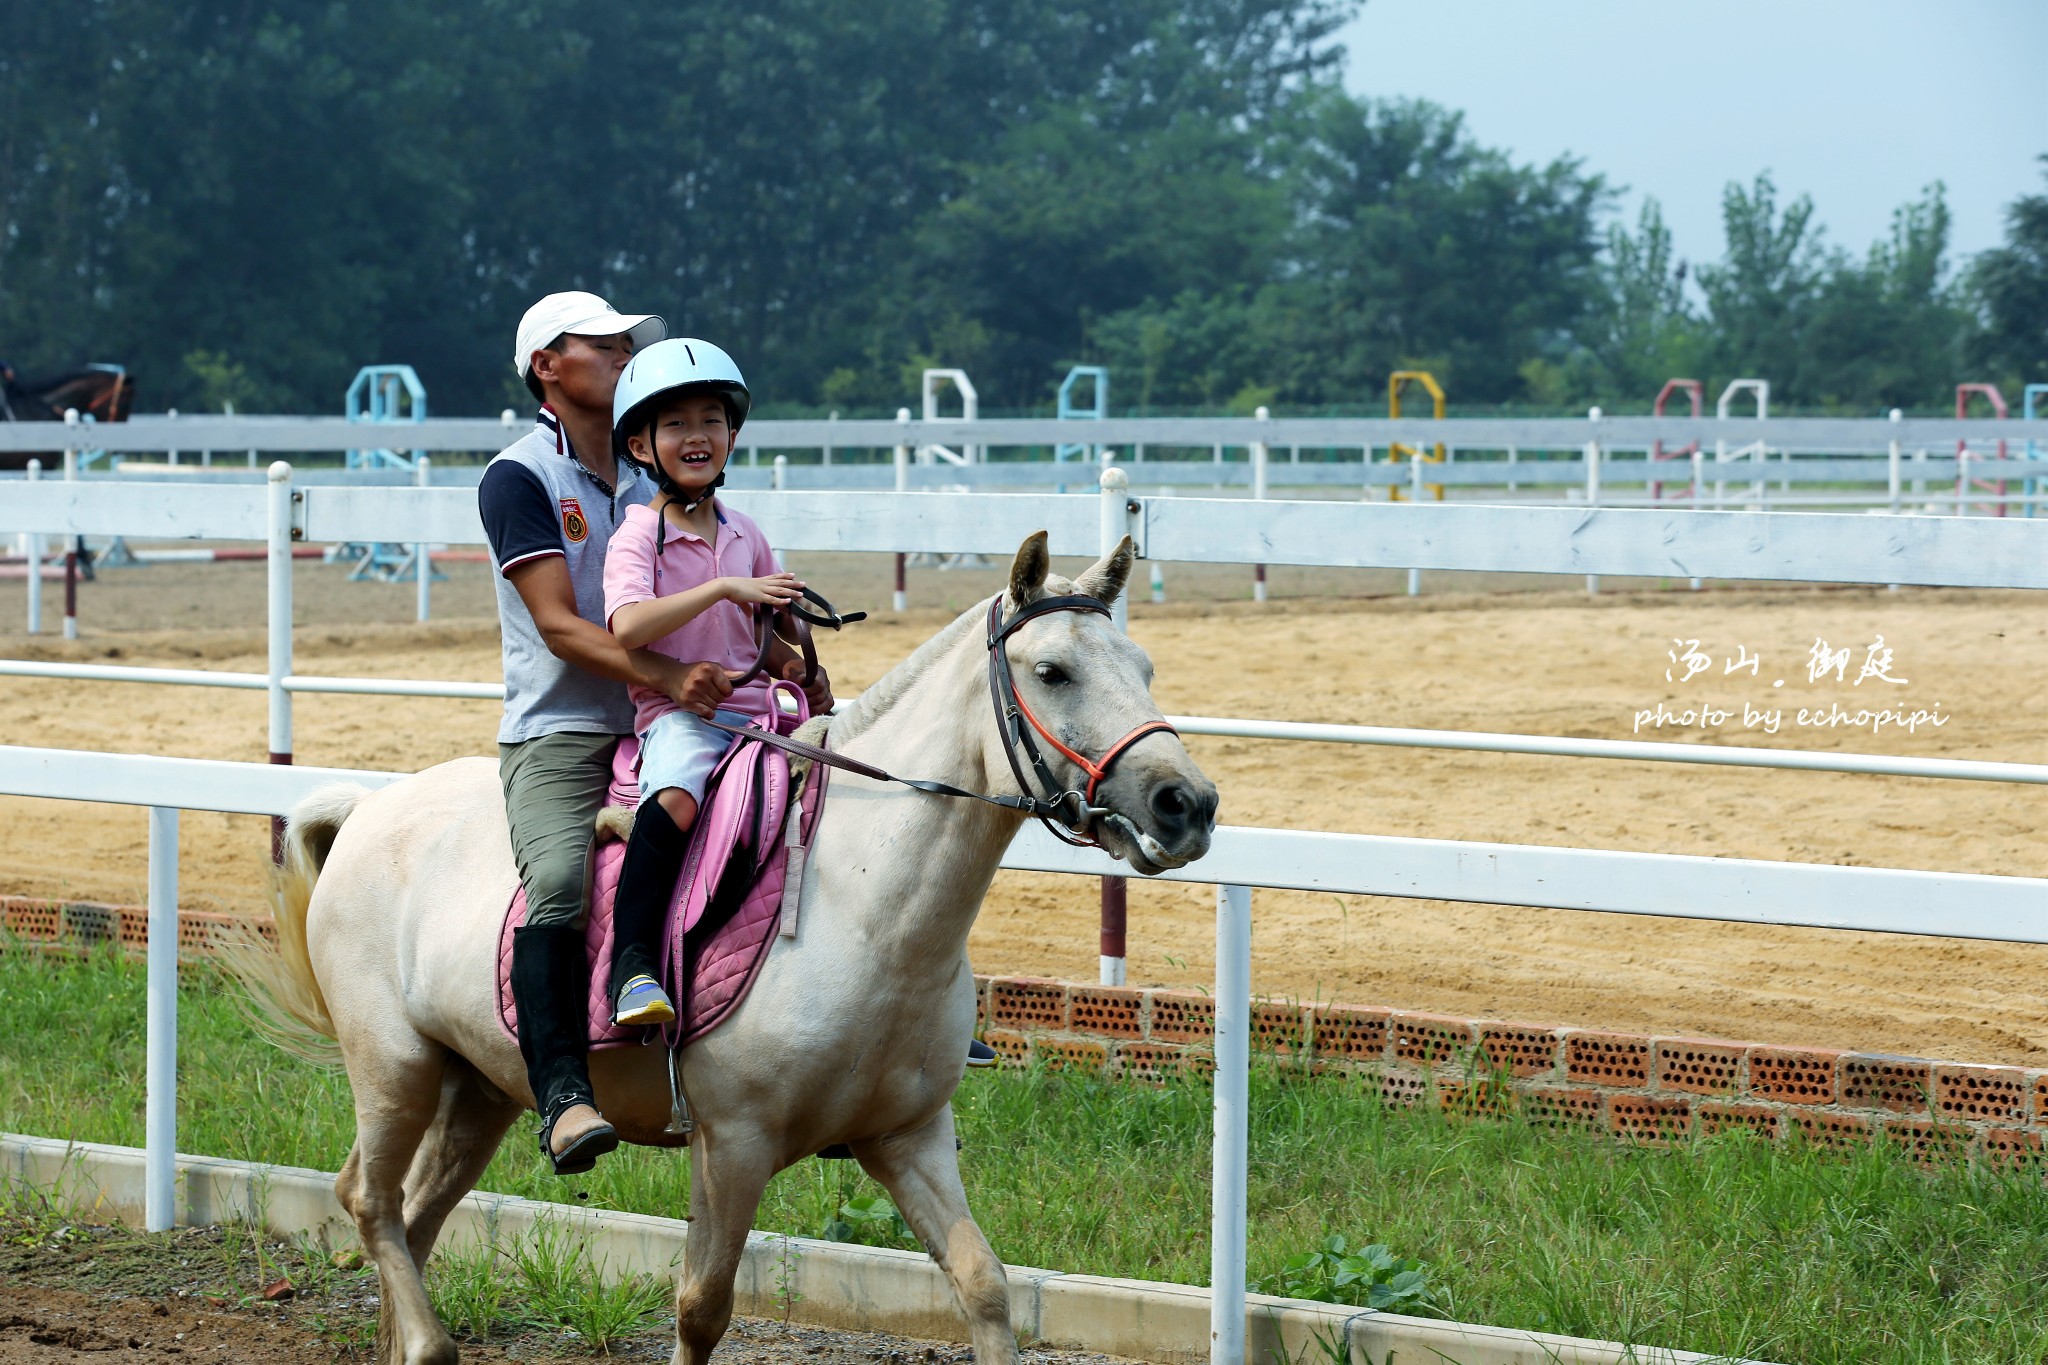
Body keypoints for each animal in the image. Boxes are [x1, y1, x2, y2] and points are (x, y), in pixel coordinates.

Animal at [224, 532, 1212, 1365]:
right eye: (1052, 671)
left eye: (1144, 666)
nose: (1187, 804)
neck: (866, 908)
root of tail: (366, 807)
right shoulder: (731, 1143)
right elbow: (702, 1305)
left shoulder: (909, 1135)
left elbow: (984, 1284)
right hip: (394, 1067)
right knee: (368, 1200)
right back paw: (430, 1342)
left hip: (479, 1090)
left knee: (411, 1214)